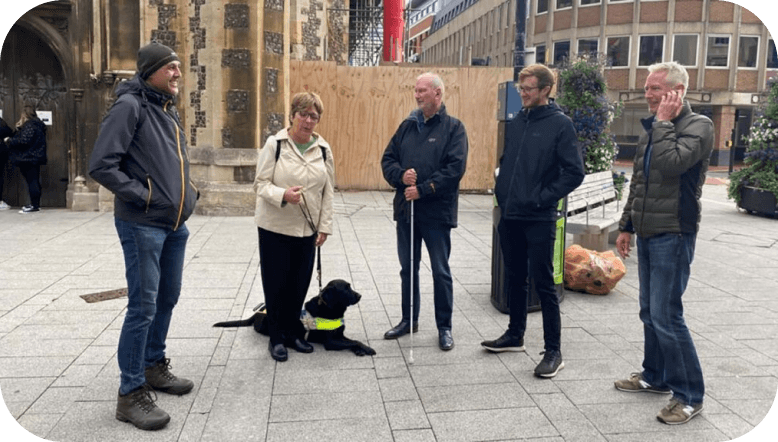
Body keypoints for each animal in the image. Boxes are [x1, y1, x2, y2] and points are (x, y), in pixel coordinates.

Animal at [212, 278, 376, 358]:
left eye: (350, 286)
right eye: (345, 289)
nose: (360, 295)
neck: (331, 309)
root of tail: (259, 311)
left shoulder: (340, 335)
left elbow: (352, 341)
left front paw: (360, 350)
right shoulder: (330, 342)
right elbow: (354, 341)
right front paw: (367, 349)